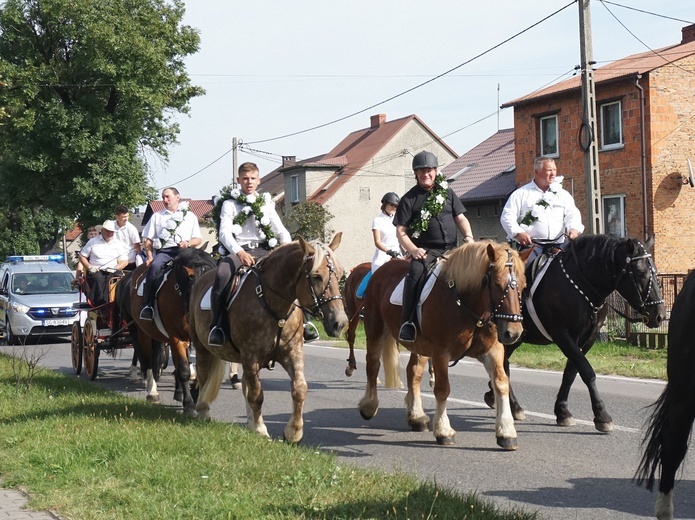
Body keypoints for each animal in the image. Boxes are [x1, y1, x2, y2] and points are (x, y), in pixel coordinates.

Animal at [126, 248, 216, 410]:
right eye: (193, 292)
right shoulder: (176, 338)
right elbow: (184, 369)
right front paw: (189, 404)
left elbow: (200, 370)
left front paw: (195, 395)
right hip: (143, 333)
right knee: (148, 359)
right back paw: (152, 391)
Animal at [189, 236, 348, 442]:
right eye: (316, 276)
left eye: (340, 274)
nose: (340, 322)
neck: (274, 302)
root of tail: (200, 281)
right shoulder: (251, 356)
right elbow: (257, 394)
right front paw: (260, 429)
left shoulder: (292, 352)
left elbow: (299, 388)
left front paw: (293, 432)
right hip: (202, 347)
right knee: (203, 375)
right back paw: (203, 410)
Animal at [358, 242, 528, 448]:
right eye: (496, 284)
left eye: (524, 285)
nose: (513, 332)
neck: (465, 302)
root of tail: (382, 269)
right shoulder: (441, 352)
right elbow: (442, 389)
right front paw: (444, 431)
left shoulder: (493, 351)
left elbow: (501, 383)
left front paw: (506, 432)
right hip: (375, 329)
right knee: (372, 365)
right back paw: (369, 406)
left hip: (421, 347)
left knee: (413, 372)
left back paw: (417, 417)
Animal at [484, 235, 668, 430]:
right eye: (640, 273)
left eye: (655, 271)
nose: (660, 316)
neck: (580, 285)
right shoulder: (563, 335)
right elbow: (587, 372)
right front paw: (602, 415)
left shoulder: (587, 339)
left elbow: (571, 372)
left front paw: (562, 411)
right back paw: (511, 405)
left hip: (513, 337)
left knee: (504, 364)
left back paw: (501, 399)